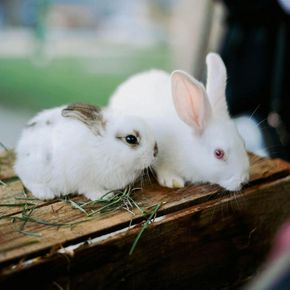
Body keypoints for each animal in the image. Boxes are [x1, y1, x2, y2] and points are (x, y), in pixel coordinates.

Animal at [14, 103, 157, 201]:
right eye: (131, 139)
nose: (155, 152)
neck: (104, 149)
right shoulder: (84, 178)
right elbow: (90, 189)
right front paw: (104, 196)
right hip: (38, 166)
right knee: (25, 178)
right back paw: (46, 194)